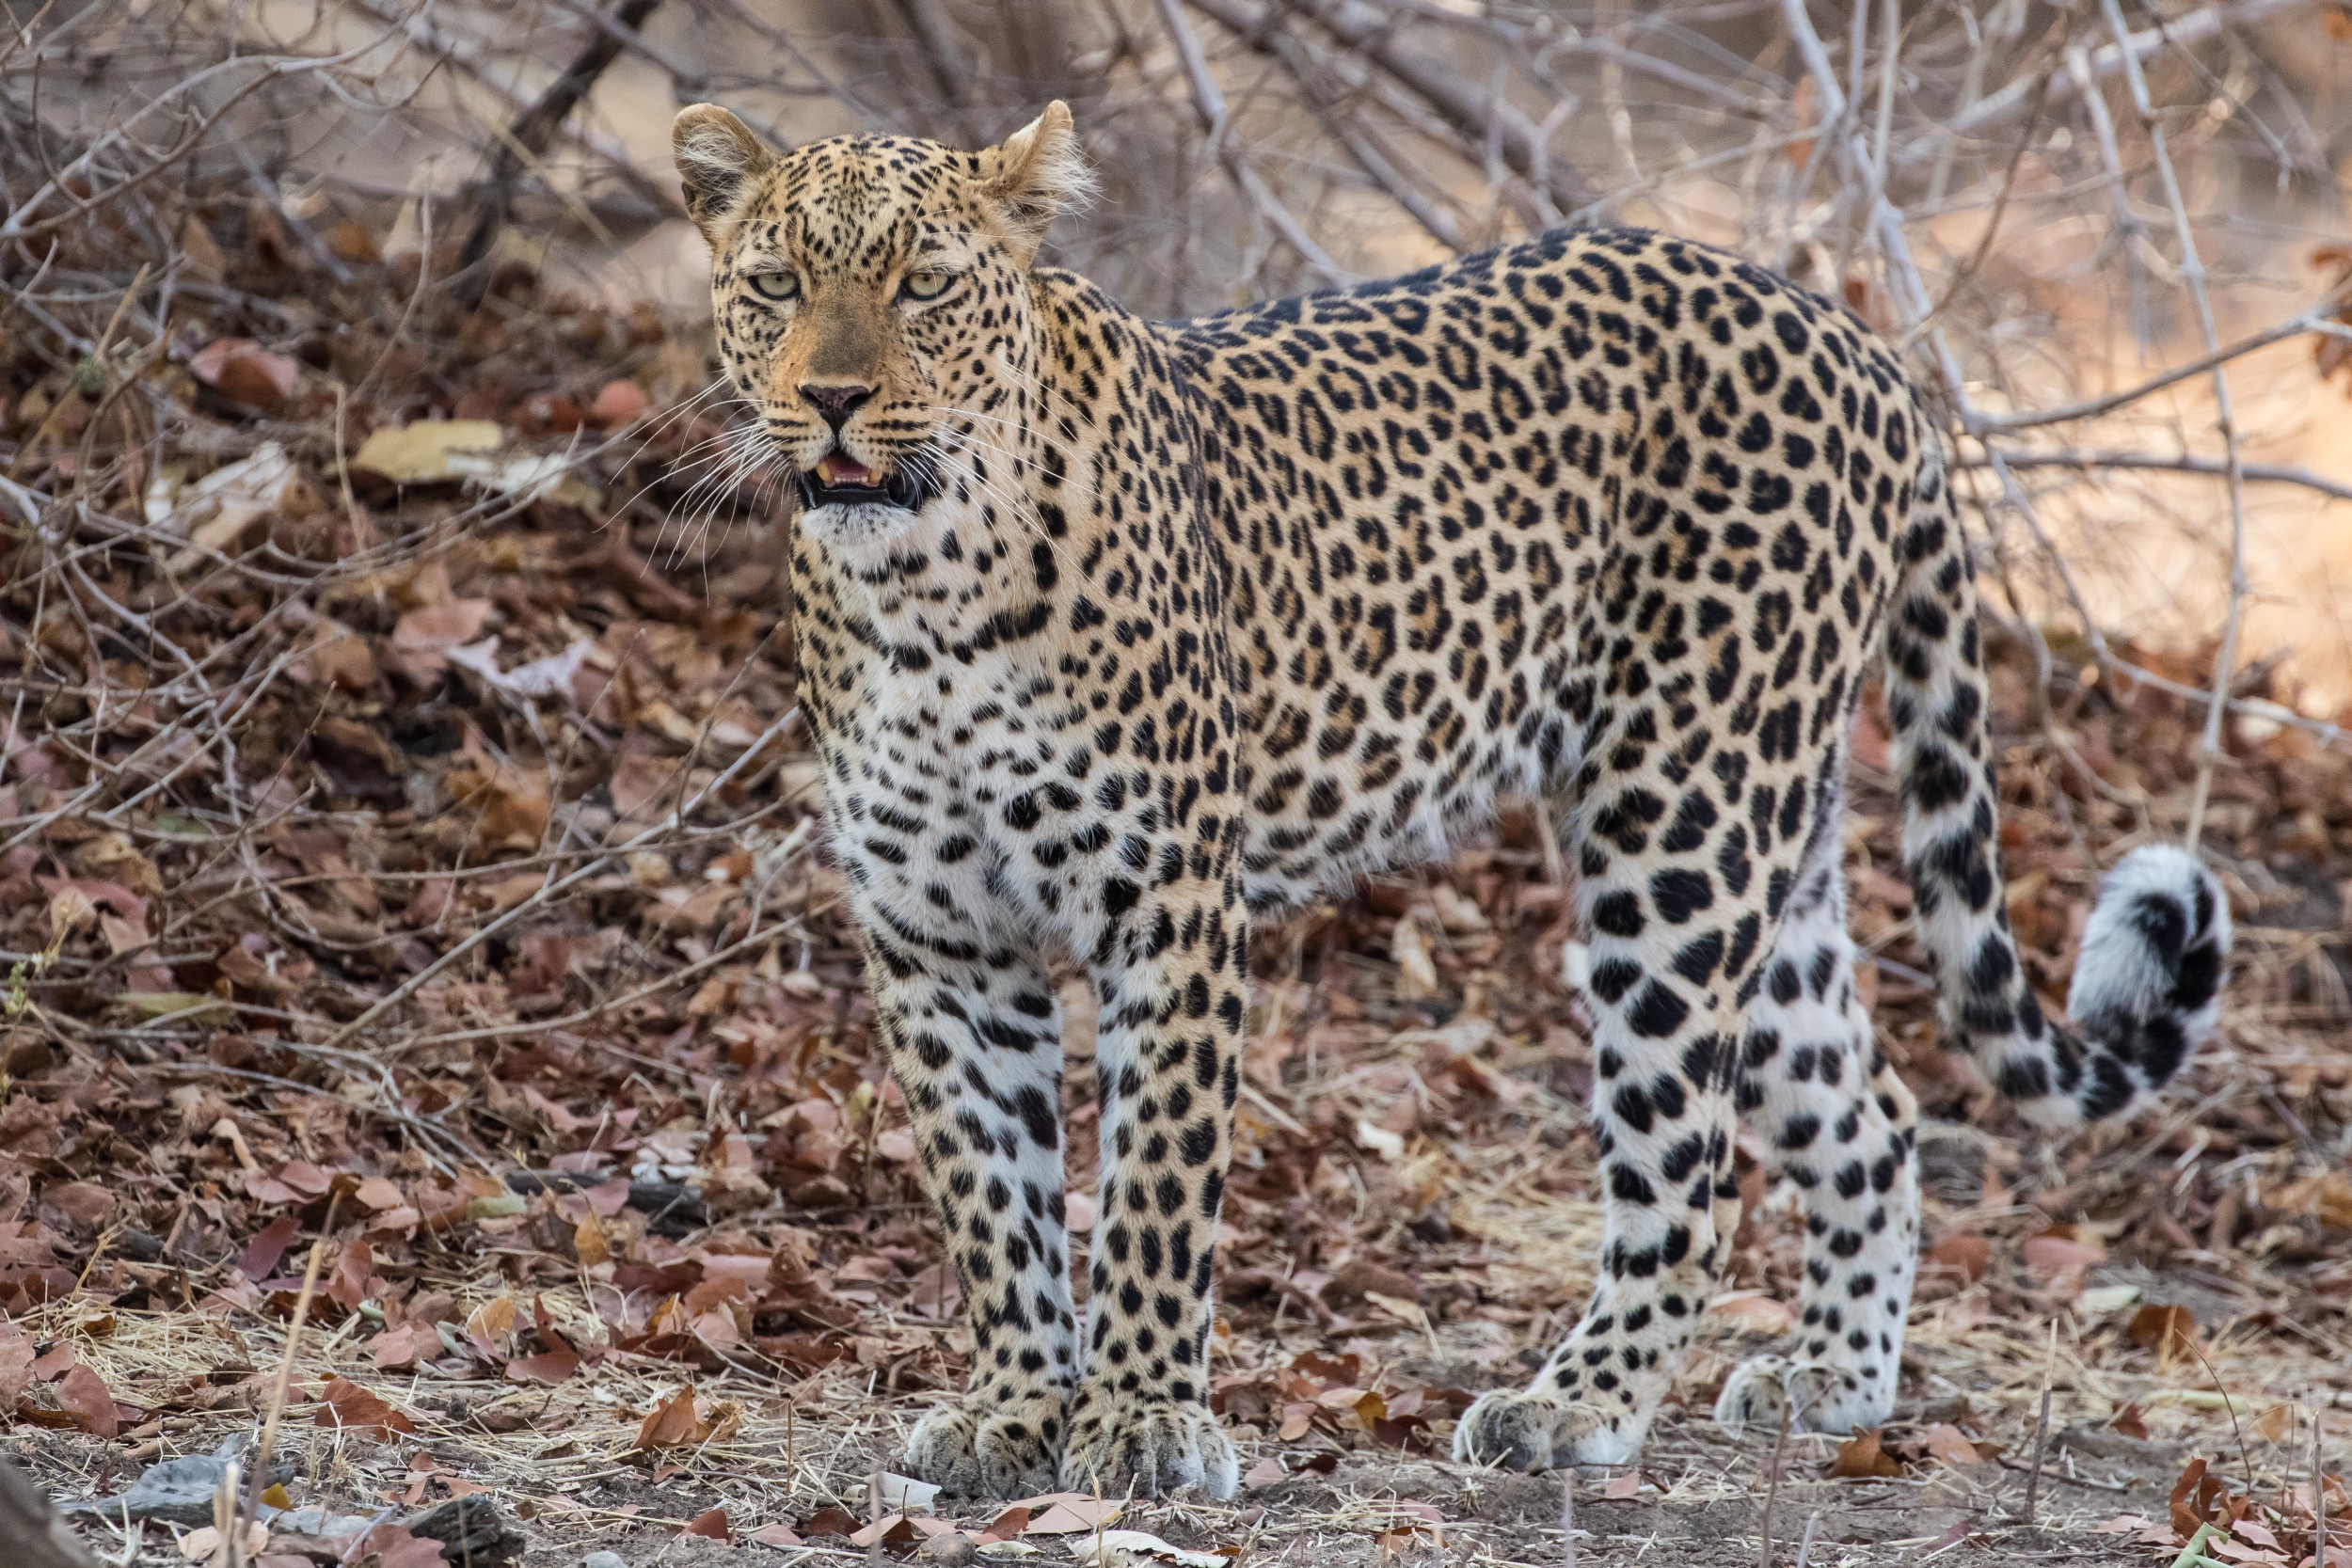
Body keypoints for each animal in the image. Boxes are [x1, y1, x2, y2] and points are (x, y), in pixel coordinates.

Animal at [673, 103, 2230, 1504]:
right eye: (777, 284)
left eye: (925, 283)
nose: (832, 400)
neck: (920, 590)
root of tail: (1860, 343)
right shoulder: (936, 930)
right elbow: (990, 1188)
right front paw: (1013, 1411)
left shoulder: (1168, 906)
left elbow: (1159, 1185)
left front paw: (1143, 1423)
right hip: (1770, 842)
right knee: (1871, 1112)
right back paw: (1832, 1376)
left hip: (1678, 829)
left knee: (1689, 1172)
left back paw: (1576, 1403)